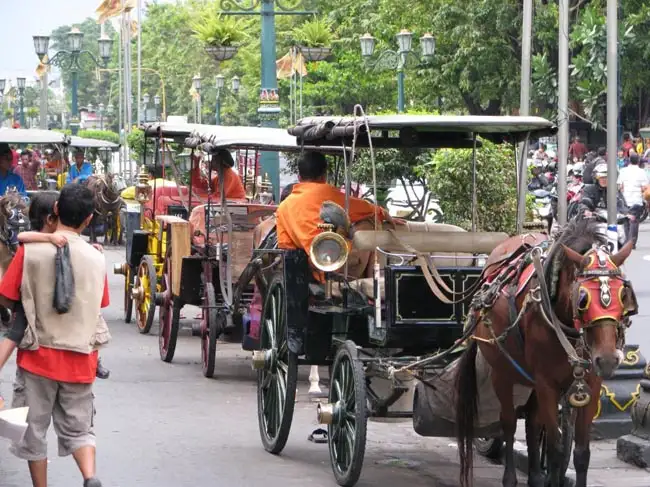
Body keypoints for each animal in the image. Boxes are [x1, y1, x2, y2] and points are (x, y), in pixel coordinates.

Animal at [456, 219, 632, 487]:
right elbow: (556, 449)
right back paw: (511, 478)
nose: (609, 360)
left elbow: (581, 453)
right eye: (583, 298)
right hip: (502, 371)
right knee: (508, 423)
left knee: (531, 423)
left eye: (623, 295)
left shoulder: (590, 384)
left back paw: (536, 477)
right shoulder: (547, 384)